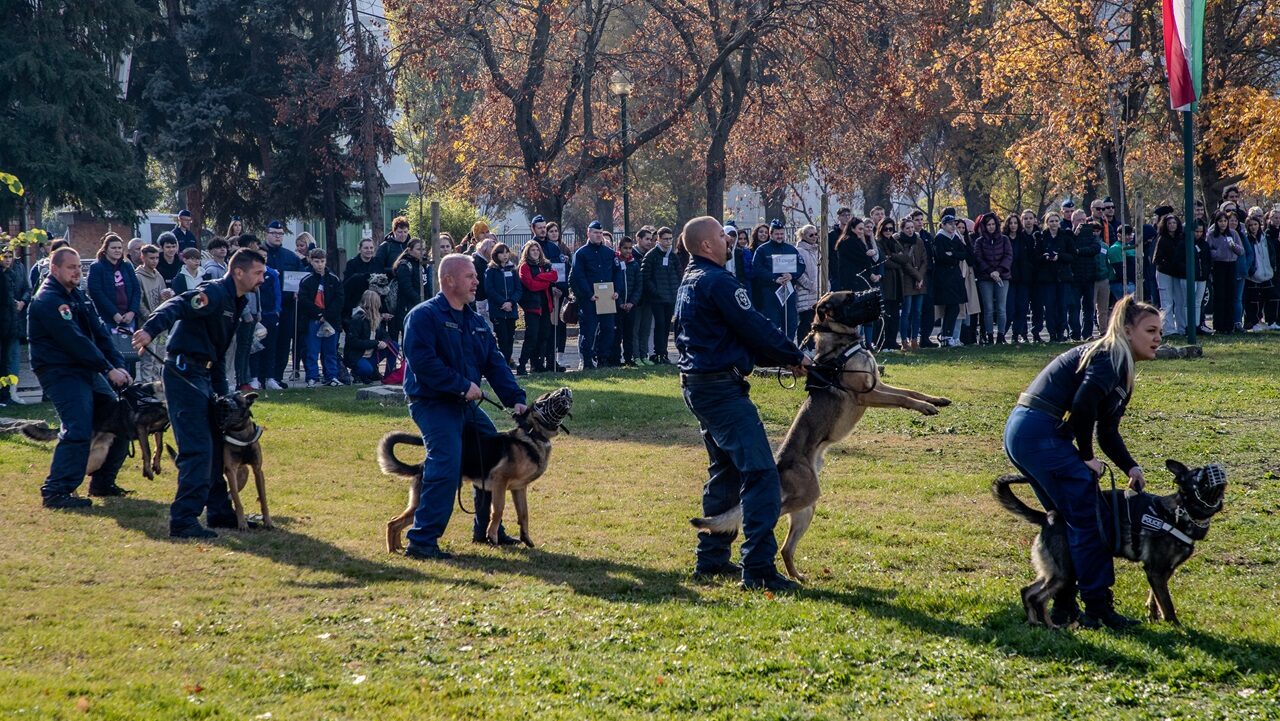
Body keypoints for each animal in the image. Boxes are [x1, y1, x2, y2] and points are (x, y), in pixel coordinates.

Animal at [16, 381, 170, 481]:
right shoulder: (141, 427)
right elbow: (147, 451)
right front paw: (148, 471)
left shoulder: (158, 430)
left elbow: (159, 447)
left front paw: (156, 465)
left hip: (99, 455)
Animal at [376, 389, 573, 553]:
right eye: (546, 397)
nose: (566, 390)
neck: (532, 434)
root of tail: (421, 466)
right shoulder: (500, 482)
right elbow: (498, 510)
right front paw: (492, 536)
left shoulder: (519, 489)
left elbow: (524, 514)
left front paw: (526, 538)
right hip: (421, 503)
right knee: (393, 523)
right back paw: (393, 551)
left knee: (396, 522)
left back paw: (398, 547)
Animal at [691, 290, 952, 583]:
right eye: (850, 298)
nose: (877, 293)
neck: (843, 345)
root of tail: (779, 464)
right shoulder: (868, 394)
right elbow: (903, 399)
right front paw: (926, 408)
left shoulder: (879, 385)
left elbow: (910, 392)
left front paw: (935, 401)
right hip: (807, 497)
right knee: (764, 518)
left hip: (808, 507)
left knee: (786, 548)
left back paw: (798, 577)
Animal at [988, 463, 1228, 627]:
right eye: (1199, 474)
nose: (1218, 467)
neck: (1182, 512)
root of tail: (1049, 517)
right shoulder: (1156, 570)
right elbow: (1167, 604)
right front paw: (1175, 627)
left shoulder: (1163, 572)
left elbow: (1155, 598)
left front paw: (1152, 615)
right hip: (1066, 572)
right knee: (1038, 598)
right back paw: (1050, 627)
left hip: (1055, 571)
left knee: (1028, 592)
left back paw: (1036, 624)